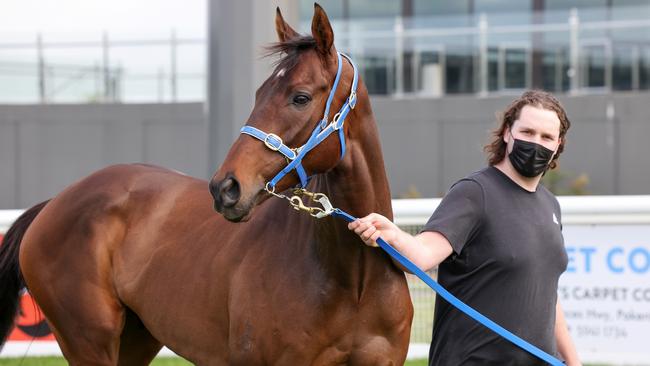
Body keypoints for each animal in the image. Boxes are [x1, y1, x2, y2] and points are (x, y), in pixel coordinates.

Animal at [1, 4, 410, 364]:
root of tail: (53, 204)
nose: (226, 188)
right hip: (90, 345)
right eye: (259, 93)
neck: (353, 281)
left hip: (135, 340)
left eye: (300, 97)